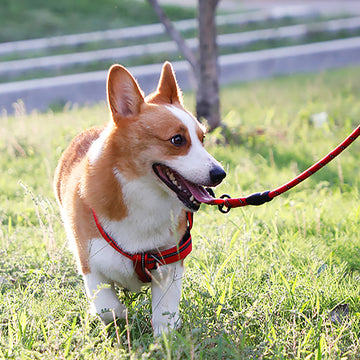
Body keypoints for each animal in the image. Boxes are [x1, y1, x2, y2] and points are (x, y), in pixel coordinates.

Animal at [53, 62, 225, 334]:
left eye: (203, 138)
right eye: (177, 140)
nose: (220, 174)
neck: (144, 194)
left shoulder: (169, 266)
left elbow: (165, 315)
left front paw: (166, 335)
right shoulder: (90, 265)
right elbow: (108, 308)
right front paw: (120, 317)